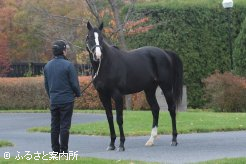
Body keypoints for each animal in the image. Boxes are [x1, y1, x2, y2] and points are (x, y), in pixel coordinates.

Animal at [85, 21, 184, 151]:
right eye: (90, 37)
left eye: (101, 38)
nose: (98, 55)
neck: (105, 65)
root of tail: (165, 52)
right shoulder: (103, 95)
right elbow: (109, 118)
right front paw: (111, 144)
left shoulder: (117, 95)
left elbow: (119, 119)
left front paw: (121, 144)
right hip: (149, 90)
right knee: (155, 109)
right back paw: (151, 140)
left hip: (166, 88)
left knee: (171, 109)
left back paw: (174, 140)